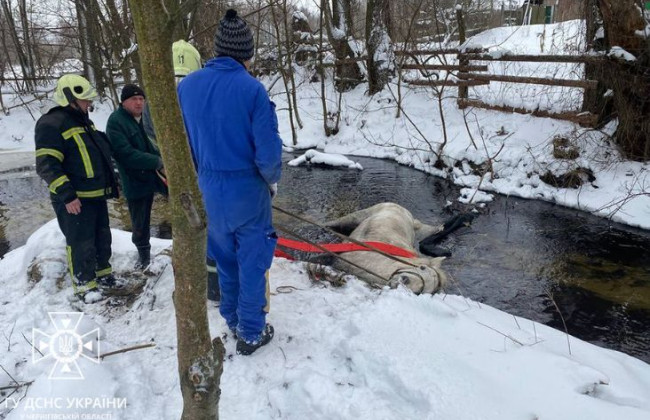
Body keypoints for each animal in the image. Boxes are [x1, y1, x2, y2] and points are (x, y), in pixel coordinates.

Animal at [318, 202, 474, 294]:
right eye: (422, 268)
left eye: (419, 292)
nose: (404, 281)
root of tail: (402, 209)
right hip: (356, 217)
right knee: (330, 224)